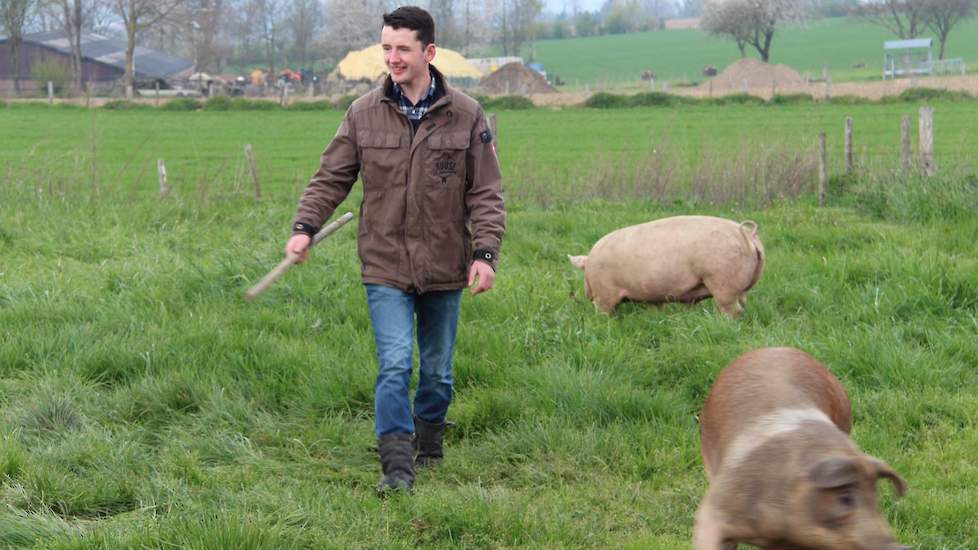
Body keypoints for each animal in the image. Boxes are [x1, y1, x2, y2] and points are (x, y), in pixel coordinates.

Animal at [564, 216, 764, 320]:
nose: (586, 295)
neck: (590, 264)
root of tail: (747, 235)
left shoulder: (605, 294)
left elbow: (604, 313)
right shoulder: (653, 298)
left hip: (723, 282)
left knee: (732, 310)